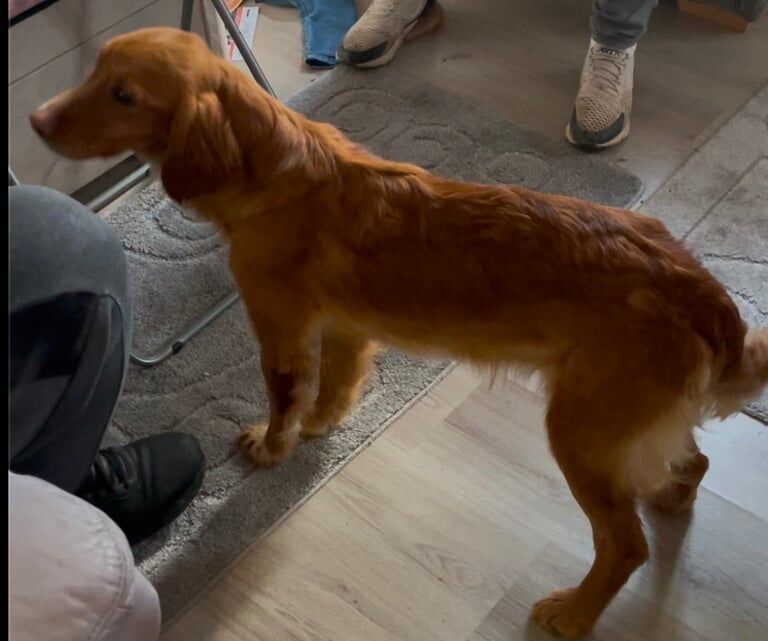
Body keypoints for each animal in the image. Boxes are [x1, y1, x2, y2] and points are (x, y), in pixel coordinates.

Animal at [27, 28, 764, 636]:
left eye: (124, 94)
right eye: (95, 70)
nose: (34, 119)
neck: (274, 165)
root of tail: (700, 289)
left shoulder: (281, 329)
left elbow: (284, 399)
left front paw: (272, 447)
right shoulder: (347, 329)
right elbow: (336, 390)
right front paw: (321, 427)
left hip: (581, 430)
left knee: (625, 544)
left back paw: (575, 612)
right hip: (626, 422)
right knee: (690, 462)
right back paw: (669, 500)